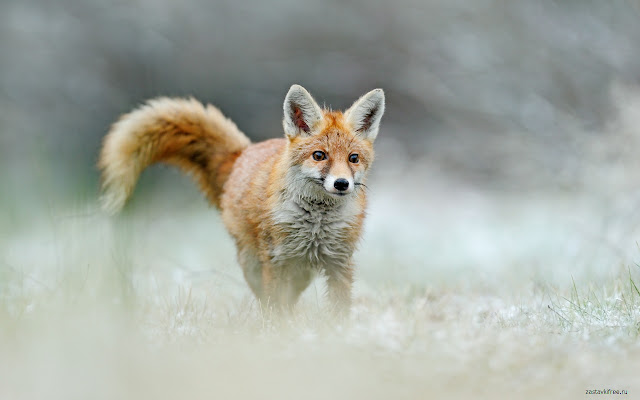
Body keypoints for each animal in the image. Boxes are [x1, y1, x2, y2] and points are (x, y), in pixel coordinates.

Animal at [98, 84, 385, 313]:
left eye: (353, 158)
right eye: (319, 155)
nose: (341, 183)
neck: (316, 223)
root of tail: (242, 154)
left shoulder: (340, 263)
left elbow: (339, 311)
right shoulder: (276, 261)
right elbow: (276, 308)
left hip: (301, 272)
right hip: (254, 263)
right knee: (267, 299)